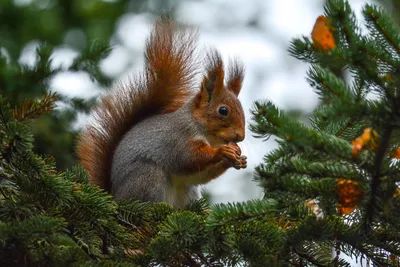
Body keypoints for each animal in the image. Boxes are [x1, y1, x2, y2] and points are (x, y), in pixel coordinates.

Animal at [76, 20, 247, 209]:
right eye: (223, 110)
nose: (241, 136)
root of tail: (115, 197)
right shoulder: (178, 139)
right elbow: (188, 158)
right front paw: (223, 151)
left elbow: (201, 175)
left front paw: (237, 157)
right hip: (148, 177)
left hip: (187, 191)